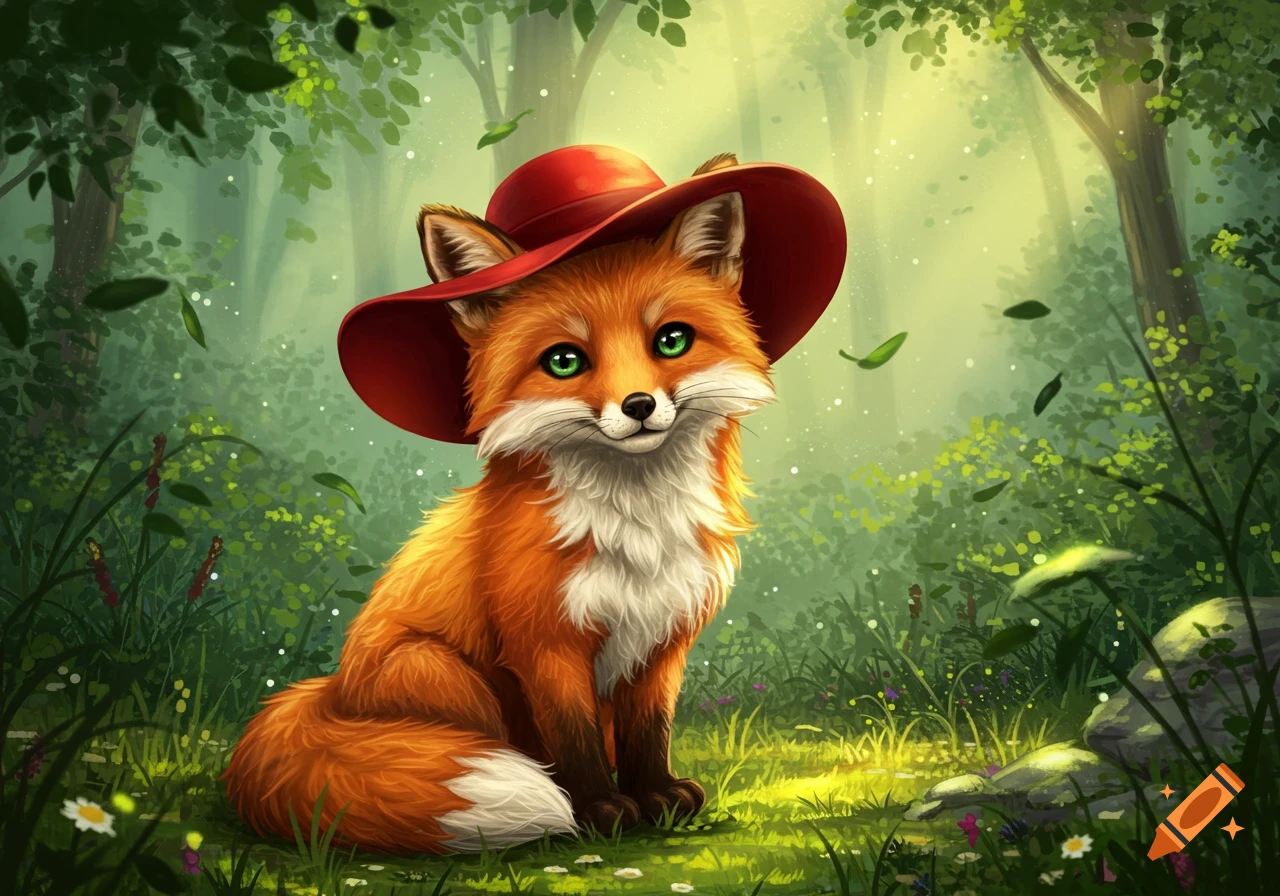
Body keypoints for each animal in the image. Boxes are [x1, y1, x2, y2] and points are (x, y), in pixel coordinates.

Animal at [222, 153, 776, 854]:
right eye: (564, 360)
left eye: (672, 340)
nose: (639, 406)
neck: (637, 527)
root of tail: (330, 694)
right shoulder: (545, 643)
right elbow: (574, 738)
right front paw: (598, 809)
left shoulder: (661, 639)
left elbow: (649, 733)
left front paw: (657, 796)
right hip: (445, 674)